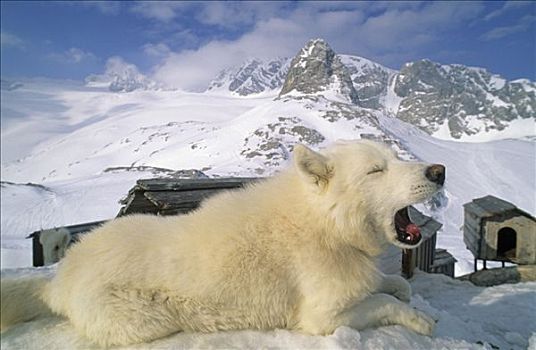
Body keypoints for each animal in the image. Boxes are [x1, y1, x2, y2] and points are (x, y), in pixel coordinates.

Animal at [1, 140, 444, 348]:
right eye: (376, 170)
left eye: (392, 158)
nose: (439, 171)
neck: (327, 225)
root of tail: (58, 278)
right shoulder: (322, 320)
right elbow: (382, 301)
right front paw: (420, 319)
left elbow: (389, 285)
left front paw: (400, 288)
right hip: (148, 321)